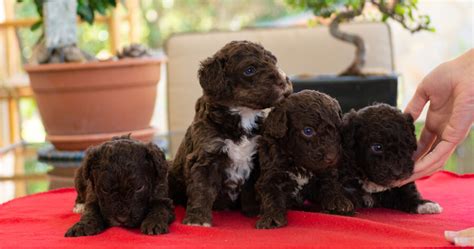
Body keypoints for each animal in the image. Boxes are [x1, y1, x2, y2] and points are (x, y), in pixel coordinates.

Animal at [167, 40, 292, 226]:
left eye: (273, 62)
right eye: (249, 70)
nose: (284, 81)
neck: (243, 115)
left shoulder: (257, 158)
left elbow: (252, 188)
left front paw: (254, 211)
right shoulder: (207, 156)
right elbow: (201, 190)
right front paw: (198, 220)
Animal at [256, 90, 352, 230]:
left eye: (338, 129)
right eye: (308, 131)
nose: (332, 157)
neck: (298, 163)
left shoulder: (324, 171)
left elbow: (330, 183)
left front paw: (338, 201)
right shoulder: (271, 174)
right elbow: (271, 195)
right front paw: (272, 217)